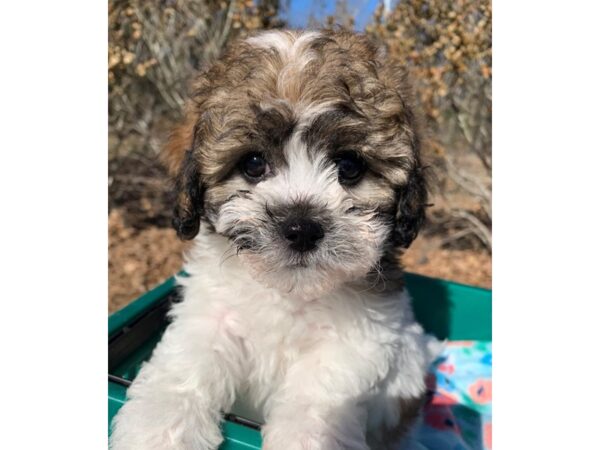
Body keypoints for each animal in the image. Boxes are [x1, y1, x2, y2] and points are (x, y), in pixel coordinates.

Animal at [110, 29, 440, 450]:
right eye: (253, 164)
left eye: (349, 166)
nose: (301, 227)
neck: (288, 292)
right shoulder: (209, 312)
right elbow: (187, 361)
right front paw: (160, 427)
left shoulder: (356, 341)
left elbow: (319, 399)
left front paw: (308, 438)